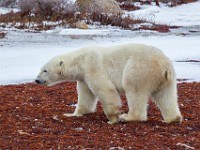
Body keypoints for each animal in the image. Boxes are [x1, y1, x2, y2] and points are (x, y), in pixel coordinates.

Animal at [35, 43, 183, 124]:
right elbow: (86, 96)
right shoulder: (83, 77)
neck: (79, 60)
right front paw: (72, 114)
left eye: (45, 70)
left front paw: (113, 118)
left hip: (139, 68)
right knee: (166, 95)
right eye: (41, 69)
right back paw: (172, 118)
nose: (37, 80)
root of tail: (163, 64)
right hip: (166, 78)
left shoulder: (92, 66)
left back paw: (127, 117)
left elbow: (105, 90)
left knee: (134, 90)